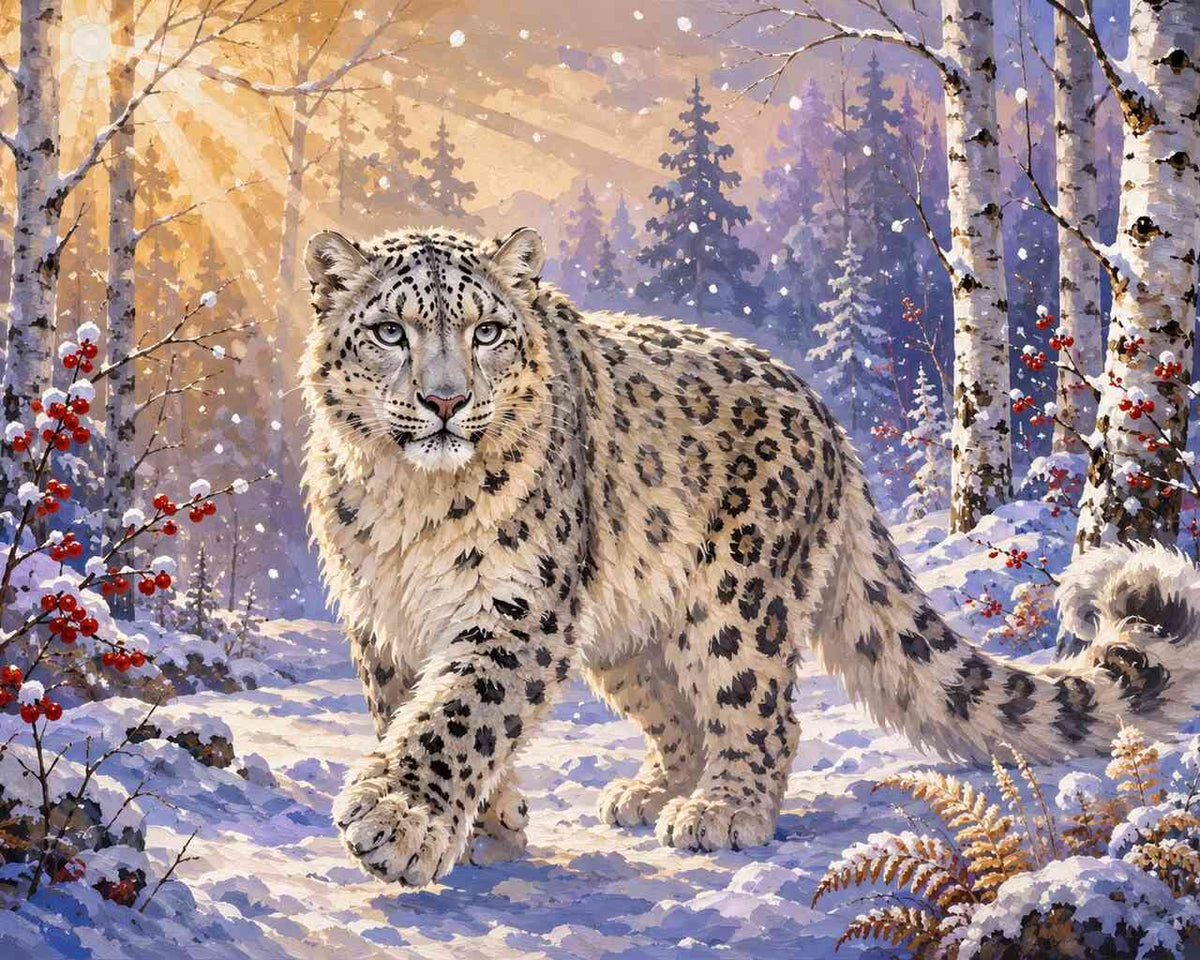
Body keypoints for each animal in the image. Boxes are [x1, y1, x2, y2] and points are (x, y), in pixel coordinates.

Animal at [300, 224, 1200, 887]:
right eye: (389, 332)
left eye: (486, 331)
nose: (445, 400)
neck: (412, 503)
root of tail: (825, 418)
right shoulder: (379, 618)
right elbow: (410, 709)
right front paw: (486, 828)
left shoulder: (519, 605)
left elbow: (462, 711)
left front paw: (395, 823)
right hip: (634, 633)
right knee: (682, 716)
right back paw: (651, 792)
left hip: (740, 599)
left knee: (761, 713)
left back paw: (722, 812)